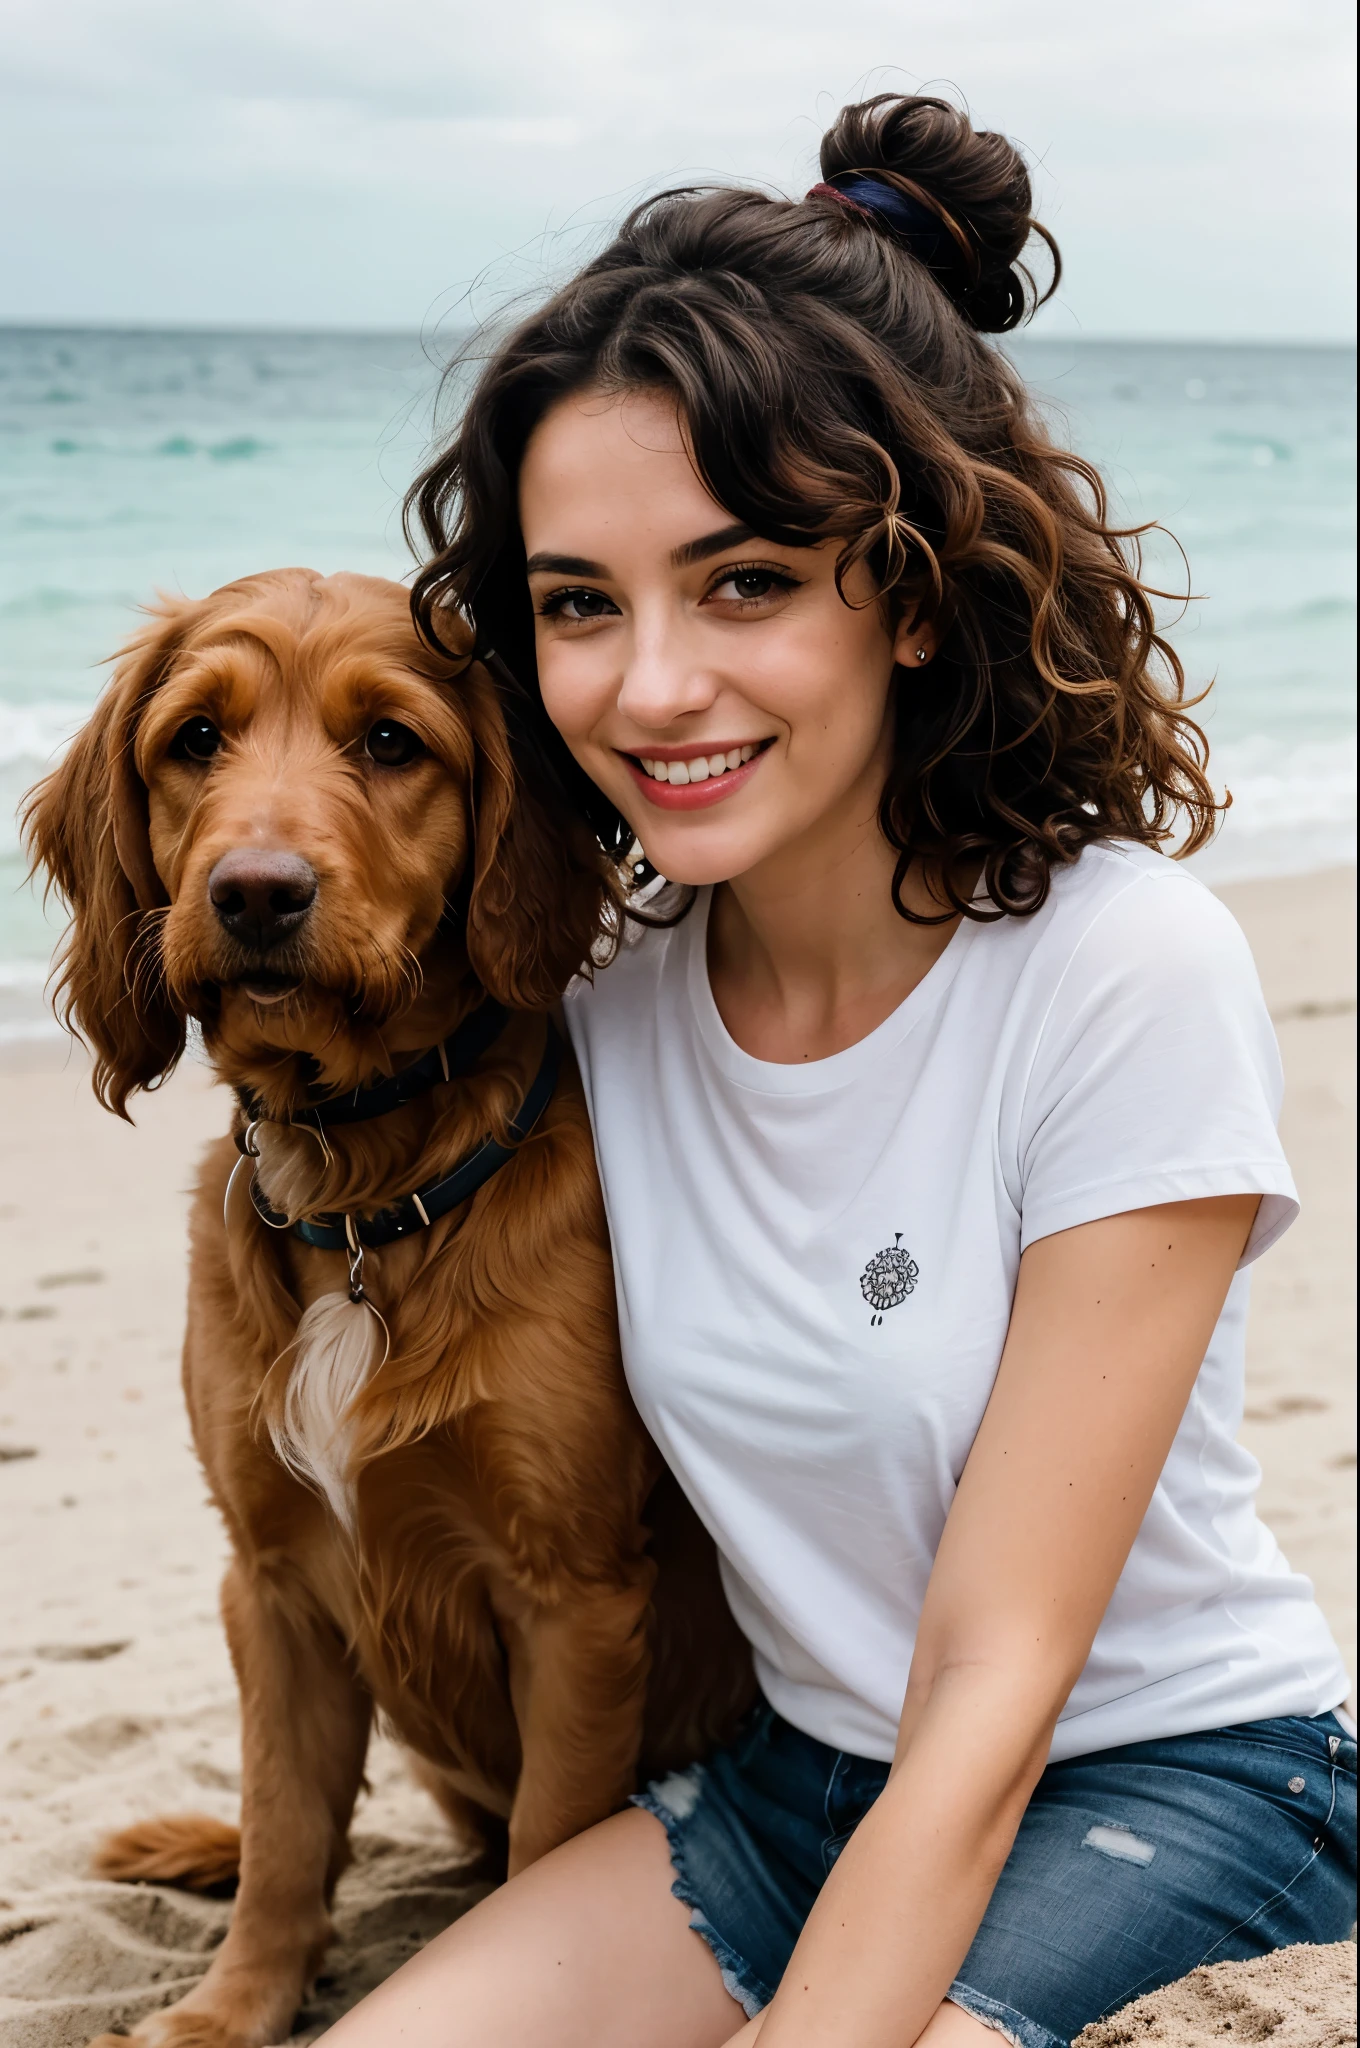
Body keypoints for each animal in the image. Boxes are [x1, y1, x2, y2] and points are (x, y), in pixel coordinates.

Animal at [23, 565, 753, 2048]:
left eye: (391, 744)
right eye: (195, 739)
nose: (254, 893)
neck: (365, 1191)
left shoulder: (573, 1599)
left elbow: (543, 1857)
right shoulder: (269, 1582)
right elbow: (286, 1825)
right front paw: (230, 2006)